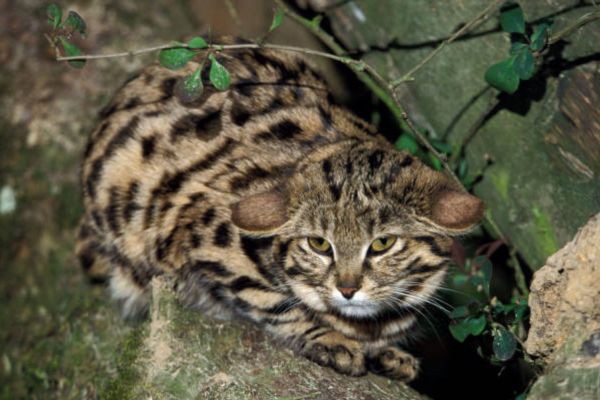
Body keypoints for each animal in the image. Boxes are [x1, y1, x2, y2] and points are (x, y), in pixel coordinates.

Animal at [77, 41, 486, 382]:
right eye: (319, 244)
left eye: (382, 243)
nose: (347, 288)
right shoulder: (198, 228)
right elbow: (271, 301)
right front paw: (330, 338)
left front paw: (388, 351)